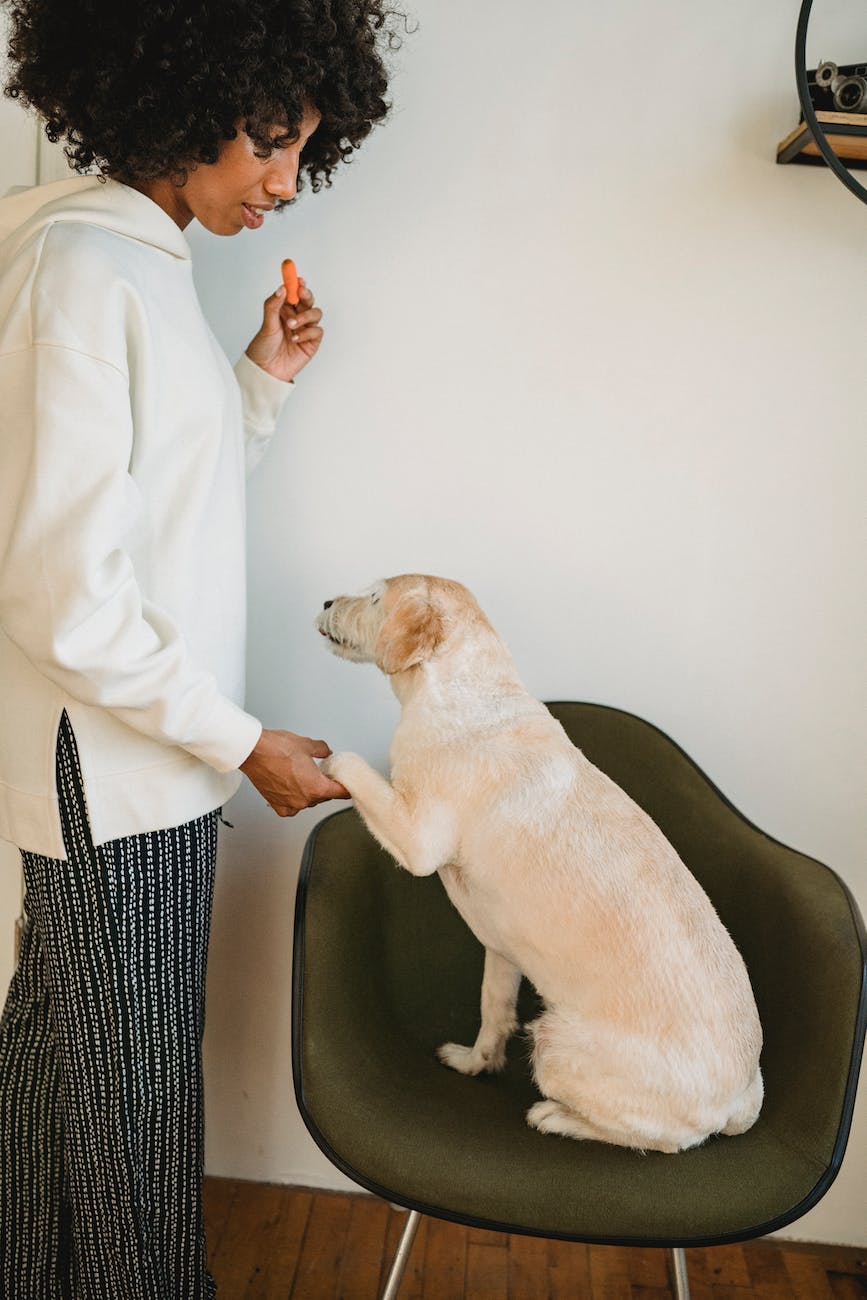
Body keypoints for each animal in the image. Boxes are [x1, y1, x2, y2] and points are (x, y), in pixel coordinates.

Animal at [315, 574, 764, 1154]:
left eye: (373, 598)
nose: (326, 600)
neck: (471, 692)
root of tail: (743, 1096)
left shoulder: (417, 840)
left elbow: (350, 764)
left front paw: (324, 759)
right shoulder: (500, 953)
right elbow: (493, 1014)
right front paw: (475, 1062)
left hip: (553, 1041)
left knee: (657, 1142)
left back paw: (553, 1117)